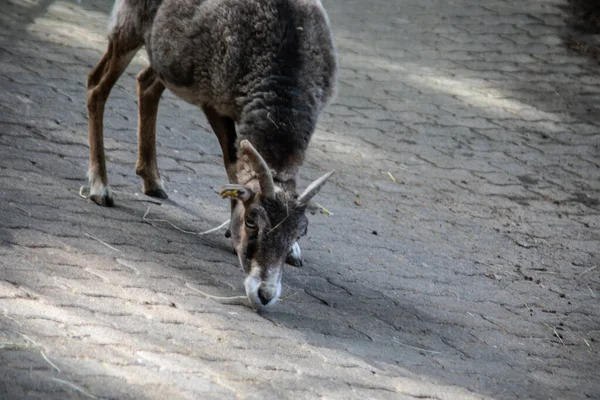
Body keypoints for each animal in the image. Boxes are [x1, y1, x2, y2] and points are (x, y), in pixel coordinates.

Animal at [85, 0, 338, 310]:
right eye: (251, 221)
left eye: (299, 232)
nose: (264, 294)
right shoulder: (215, 102)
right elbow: (232, 163)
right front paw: (231, 232)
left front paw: (294, 254)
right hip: (128, 29)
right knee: (97, 86)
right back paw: (101, 188)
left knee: (146, 83)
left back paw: (153, 182)